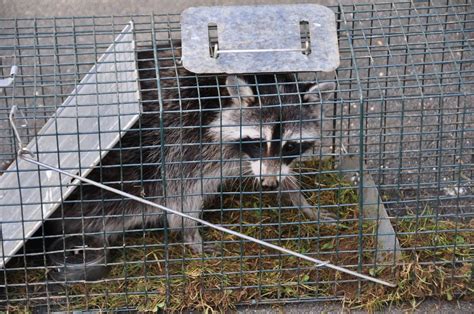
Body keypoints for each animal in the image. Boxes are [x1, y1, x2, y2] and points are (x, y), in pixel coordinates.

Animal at [50, 46, 336, 254]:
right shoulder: (183, 141)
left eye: (290, 145)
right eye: (258, 141)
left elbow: (282, 170)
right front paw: (190, 233)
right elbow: (181, 193)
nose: (268, 184)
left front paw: (301, 201)